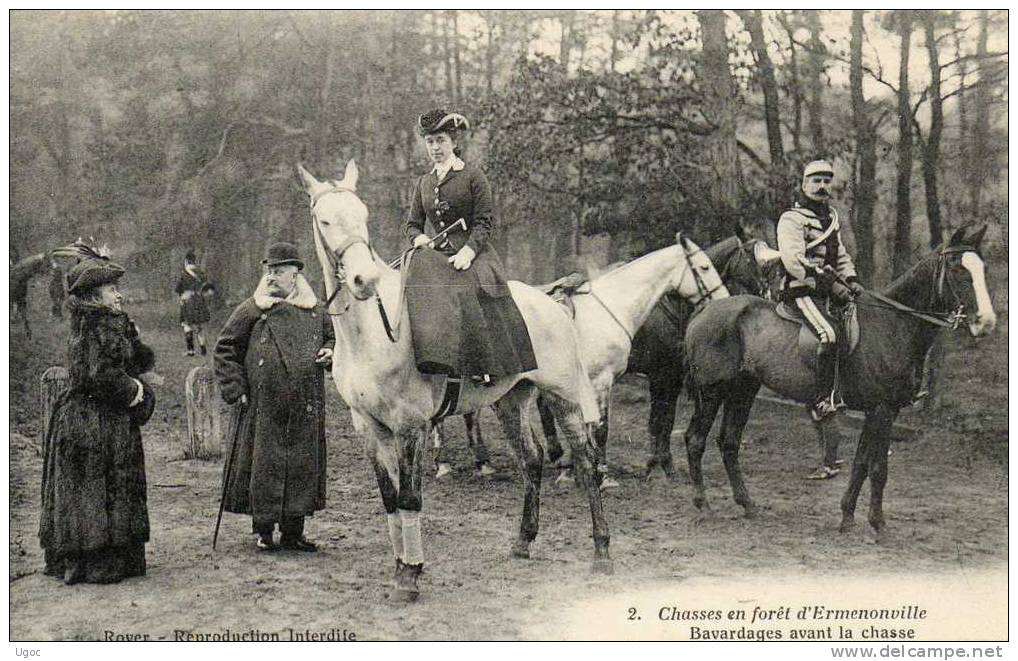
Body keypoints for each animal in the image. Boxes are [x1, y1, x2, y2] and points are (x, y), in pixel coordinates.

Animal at [297, 159, 606, 598]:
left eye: (364, 216)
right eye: (325, 220)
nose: (364, 281)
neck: (372, 332)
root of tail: (552, 301)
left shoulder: (410, 425)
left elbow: (409, 499)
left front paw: (410, 575)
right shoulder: (367, 427)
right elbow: (390, 498)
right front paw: (400, 566)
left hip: (562, 397)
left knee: (586, 462)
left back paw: (602, 551)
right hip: (510, 401)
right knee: (531, 460)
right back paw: (523, 541)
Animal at [680, 224, 997, 533]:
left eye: (981, 268)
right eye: (957, 269)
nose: (986, 322)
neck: (894, 325)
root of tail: (704, 310)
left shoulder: (880, 411)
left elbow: (862, 464)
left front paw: (847, 517)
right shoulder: (882, 411)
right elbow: (879, 469)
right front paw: (878, 523)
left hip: (743, 391)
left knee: (729, 443)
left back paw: (747, 505)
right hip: (711, 393)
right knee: (695, 439)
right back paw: (703, 505)